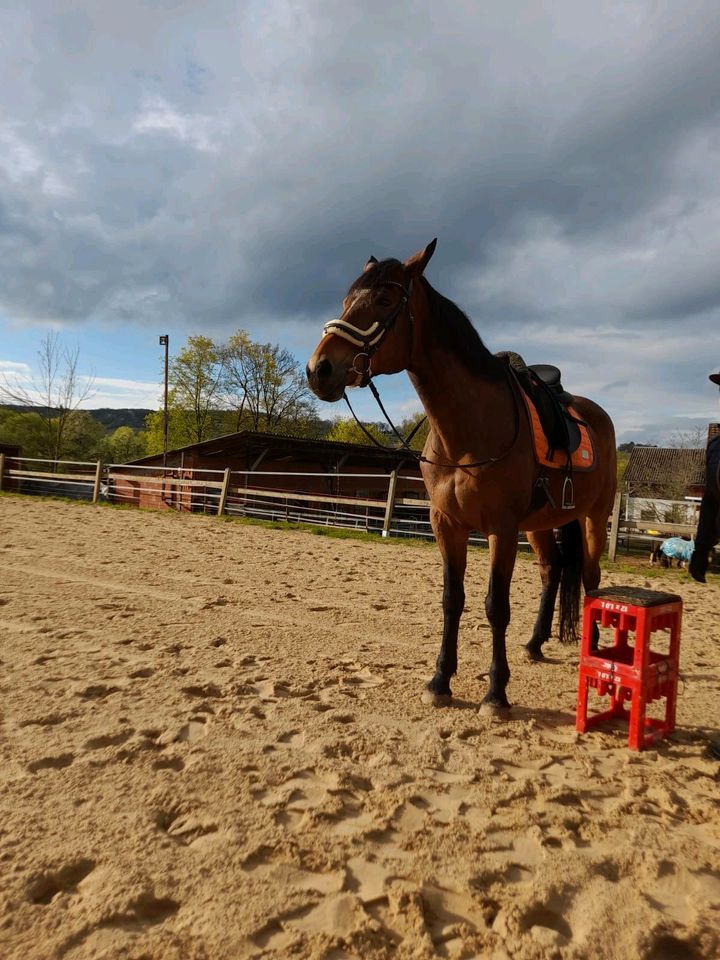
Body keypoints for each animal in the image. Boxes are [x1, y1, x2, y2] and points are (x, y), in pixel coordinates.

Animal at [306, 238, 616, 712]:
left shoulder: (500, 530)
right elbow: (452, 600)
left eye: (384, 300)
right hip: (541, 525)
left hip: (593, 517)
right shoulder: (446, 524)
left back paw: (594, 651)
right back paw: (535, 643)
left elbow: (495, 606)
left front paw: (496, 692)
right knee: (551, 572)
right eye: (345, 300)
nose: (318, 369)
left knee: (591, 580)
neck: (469, 430)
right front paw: (440, 680)